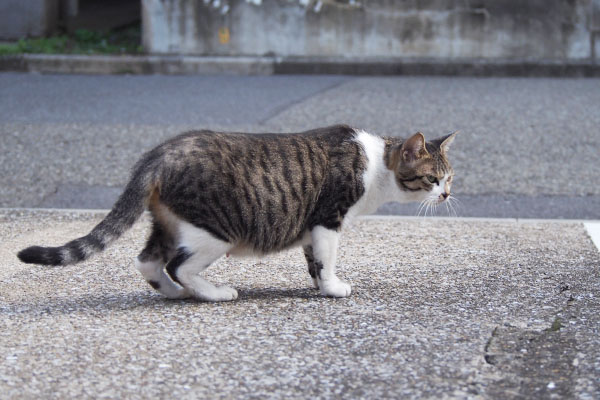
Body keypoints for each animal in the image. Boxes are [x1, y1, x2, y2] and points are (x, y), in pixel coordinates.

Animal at [19, 124, 460, 300]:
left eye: (450, 177)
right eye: (432, 178)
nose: (446, 195)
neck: (376, 163)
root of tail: (160, 153)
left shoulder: (311, 227)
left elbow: (313, 261)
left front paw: (319, 285)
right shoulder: (327, 219)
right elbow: (328, 260)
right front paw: (334, 288)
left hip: (170, 223)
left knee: (147, 261)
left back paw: (174, 293)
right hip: (216, 230)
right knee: (179, 265)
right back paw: (215, 293)